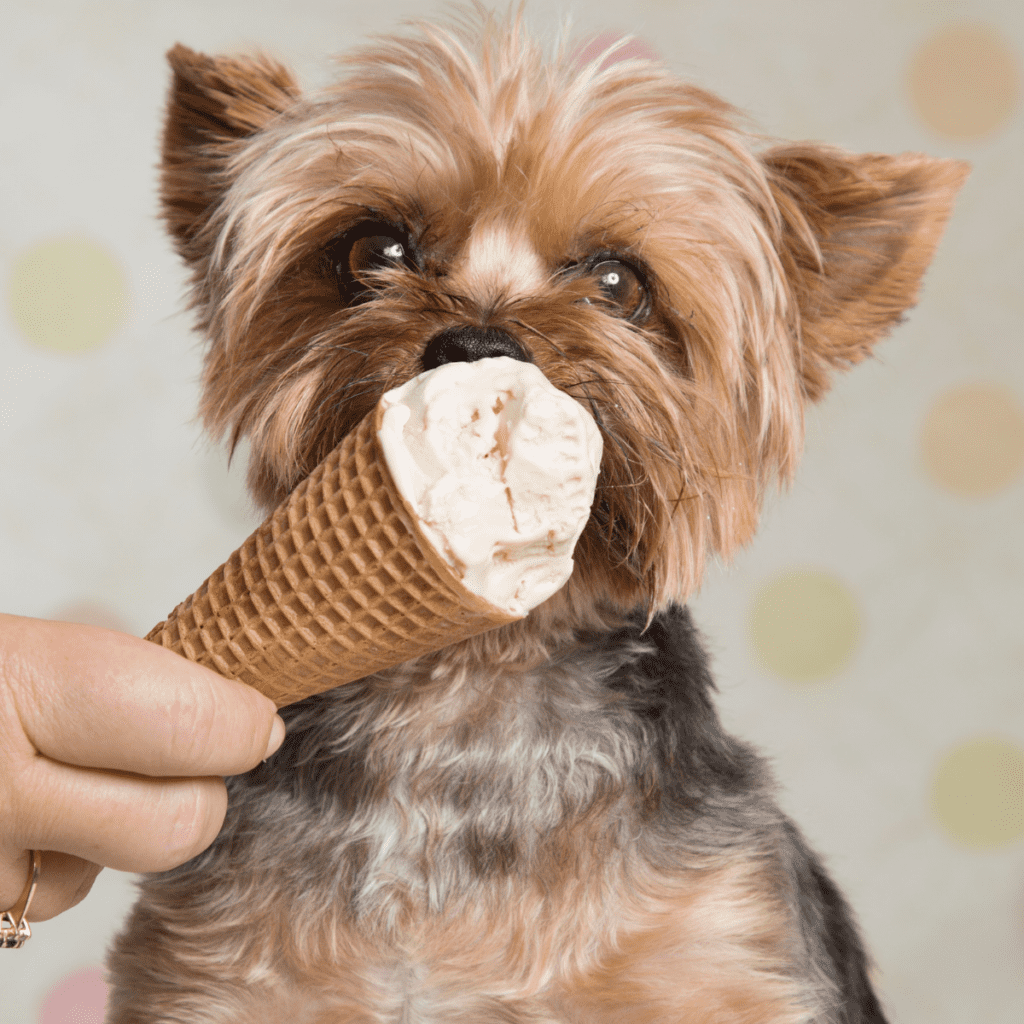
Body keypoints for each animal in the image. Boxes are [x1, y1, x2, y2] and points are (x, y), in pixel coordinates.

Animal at [103, 9, 966, 1024]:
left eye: (618, 283)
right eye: (373, 252)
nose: (478, 343)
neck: (460, 695)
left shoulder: (723, 950)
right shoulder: (218, 974)